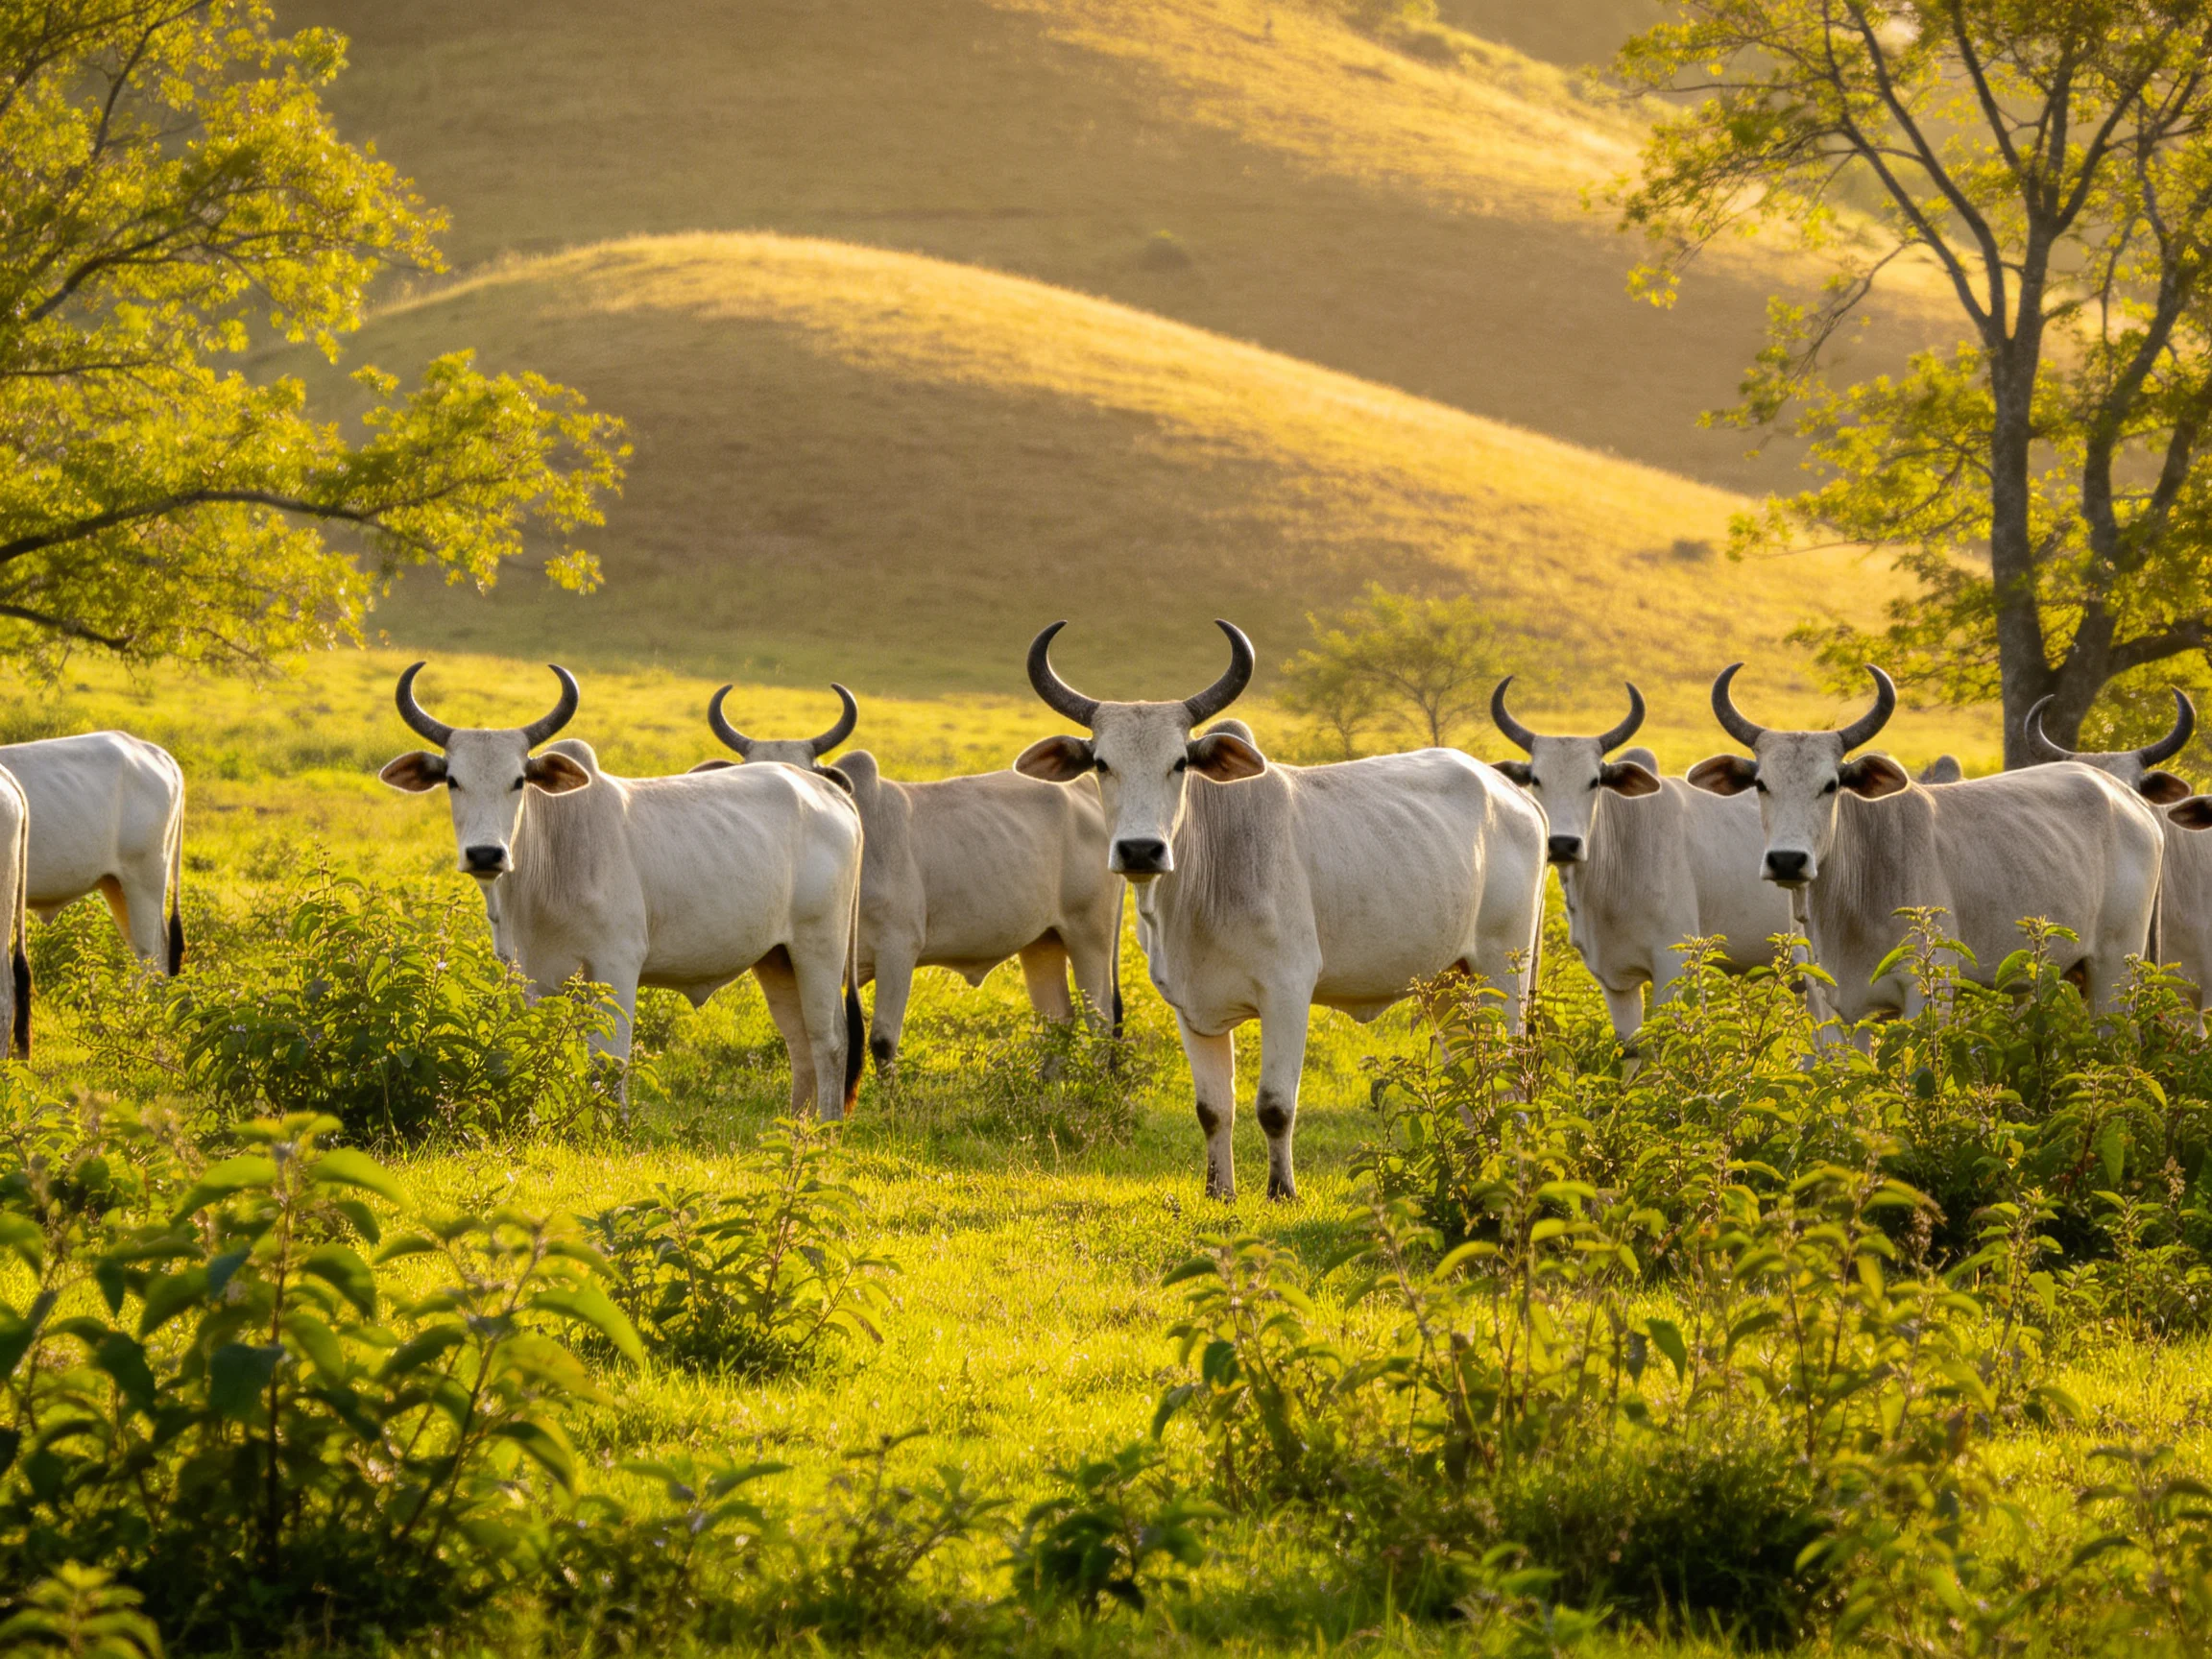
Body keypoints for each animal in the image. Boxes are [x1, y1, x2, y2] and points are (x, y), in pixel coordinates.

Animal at [377, 663, 866, 1119]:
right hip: (777, 959)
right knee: (799, 1043)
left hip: (819, 947)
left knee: (829, 1041)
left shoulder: (617, 965)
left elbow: (608, 1064)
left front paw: (613, 1130)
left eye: (518, 780)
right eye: (452, 780)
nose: (485, 854)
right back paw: (794, 1128)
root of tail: (829, 792)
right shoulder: (524, 976)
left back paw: (824, 1132)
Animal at [695, 685, 1123, 1084]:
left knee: (1100, 1019)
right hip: (1042, 942)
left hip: (1090, 936)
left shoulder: (898, 950)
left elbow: (882, 1040)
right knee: (1057, 1018)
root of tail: (1084, 789)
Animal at [1014, 621, 1547, 1202]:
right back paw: (1476, 1169)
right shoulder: (1189, 1007)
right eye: (1102, 764)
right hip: (1451, 982)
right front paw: (1219, 1191)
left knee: (1510, 1077)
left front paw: (1281, 1190)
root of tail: (1512, 792)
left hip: (1505, 973)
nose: (1140, 850)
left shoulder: (1288, 992)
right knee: (1471, 1074)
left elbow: (1274, 1106)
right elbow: (1211, 1109)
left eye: (1179, 763)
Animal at [1687, 664, 2164, 1022]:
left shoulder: (1928, 991)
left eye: (1831, 785)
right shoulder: (1833, 1008)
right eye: (1761, 784)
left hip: (2115, 973)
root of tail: (2126, 797)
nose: (1787, 860)